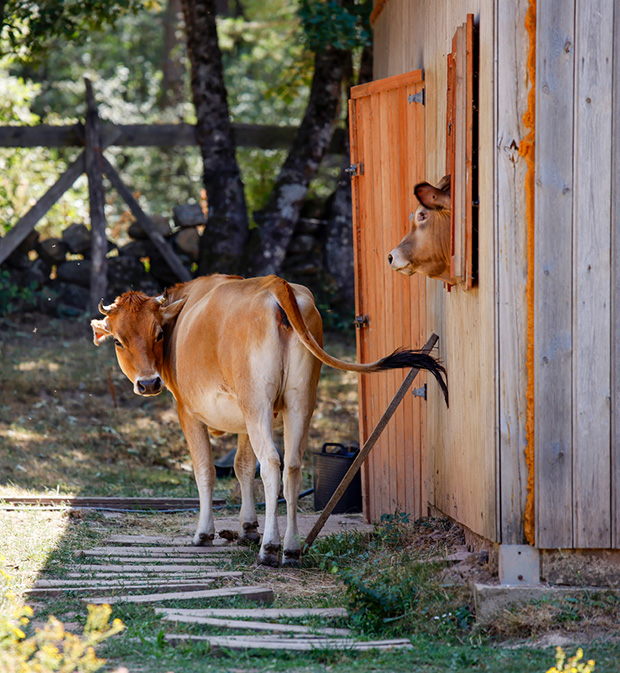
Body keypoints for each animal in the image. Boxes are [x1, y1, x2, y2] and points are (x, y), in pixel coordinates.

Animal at [92, 274, 448, 568]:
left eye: (157, 334)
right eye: (119, 340)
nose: (148, 383)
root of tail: (275, 283)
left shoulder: (188, 411)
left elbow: (207, 470)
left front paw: (205, 533)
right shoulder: (243, 419)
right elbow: (242, 466)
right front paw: (248, 527)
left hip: (258, 402)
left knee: (272, 465)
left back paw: (269, 549)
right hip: (299, 400)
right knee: (292, 466)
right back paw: (290, 549)